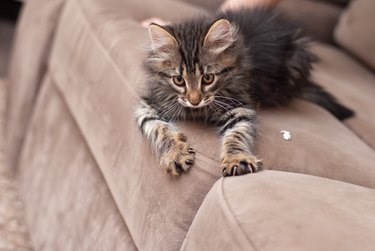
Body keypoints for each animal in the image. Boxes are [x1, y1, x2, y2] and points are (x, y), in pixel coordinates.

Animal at [136, 7, 356, 176]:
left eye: (208, 78)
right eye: (179, 80)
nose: (194, 100)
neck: (199, 110)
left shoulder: (239, 106)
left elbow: (237, 133)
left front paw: (237, 160)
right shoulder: (148, 104)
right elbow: (158, 128)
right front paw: (175, 153)